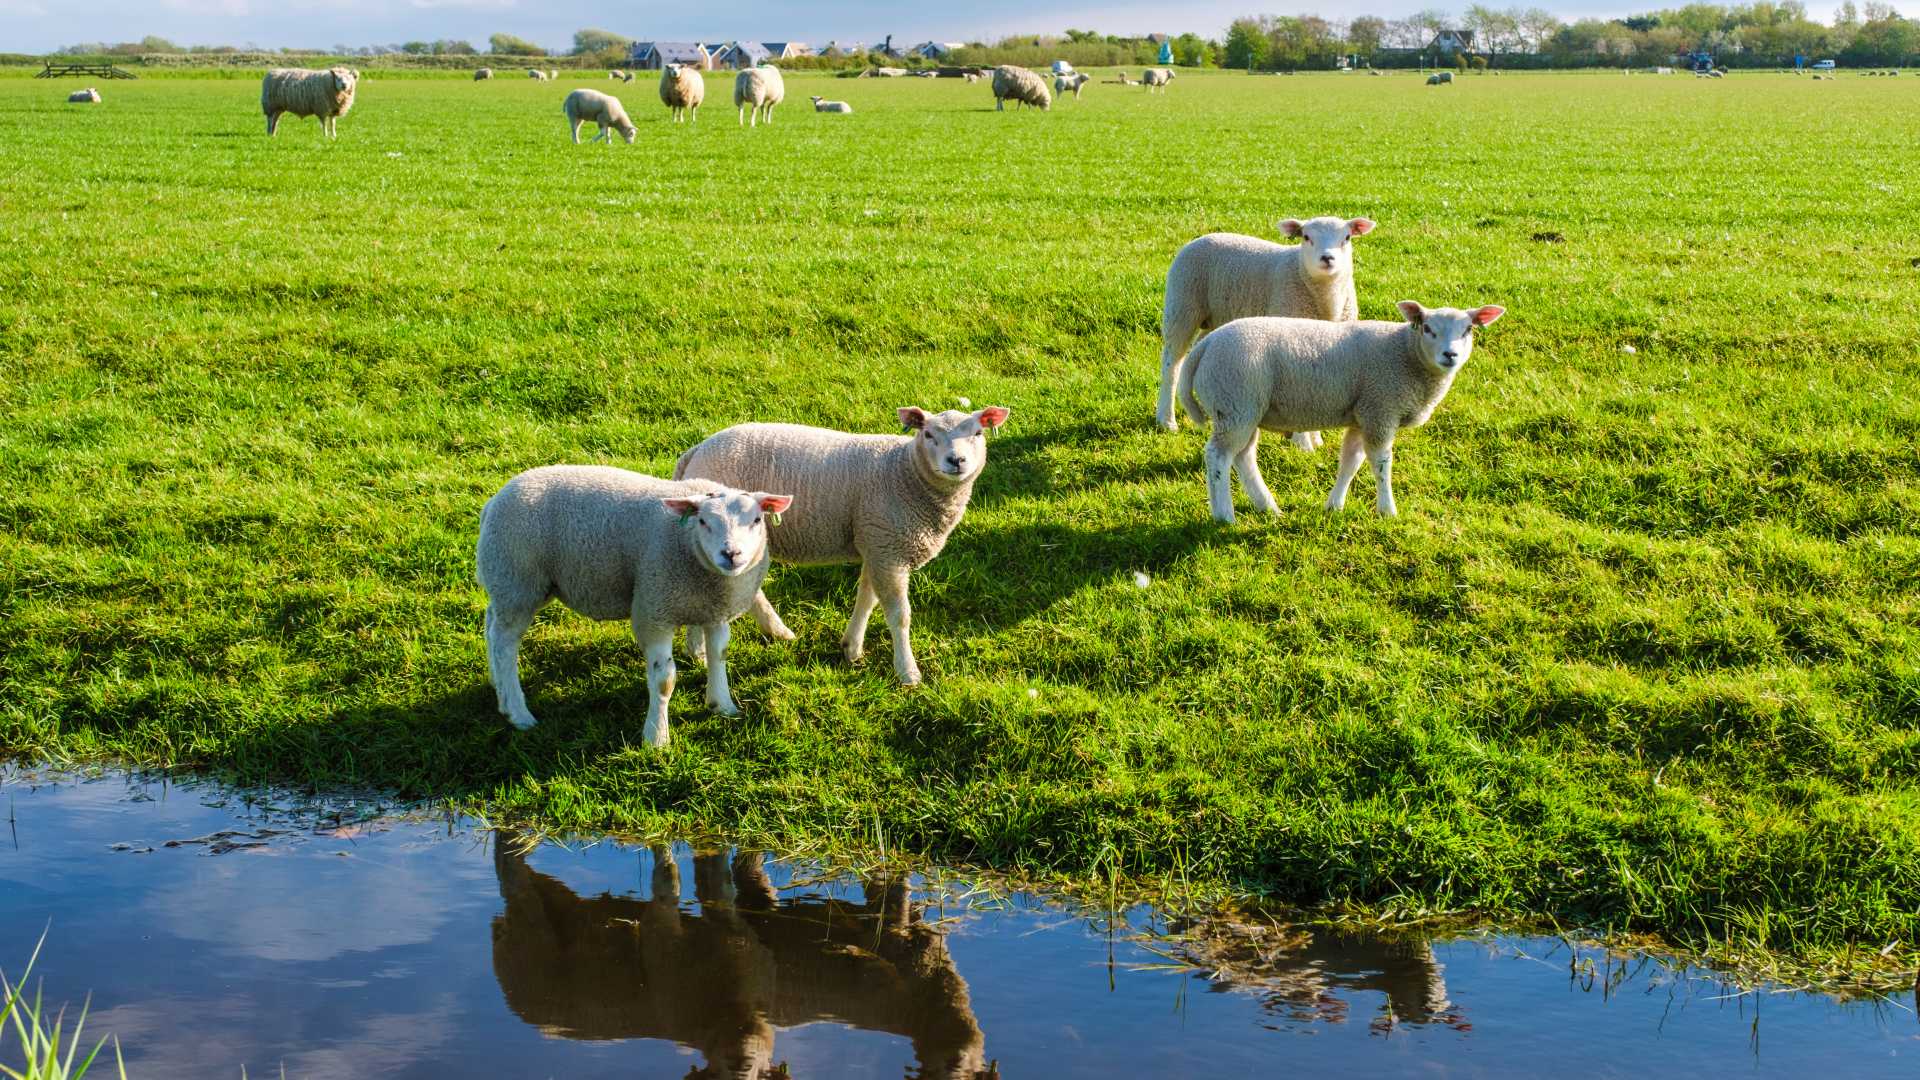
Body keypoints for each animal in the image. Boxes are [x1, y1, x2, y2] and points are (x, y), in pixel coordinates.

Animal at [476, 466, 794, 746]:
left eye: (756, 520)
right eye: (703, 522)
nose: (731, 554)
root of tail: (492, 503)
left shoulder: (714, 611)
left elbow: (719, 657)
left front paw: (722, 705)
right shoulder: (653, 609)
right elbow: (664, 680)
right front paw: (656, 738)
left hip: (516, 584)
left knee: (491, 626)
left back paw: (497, 686)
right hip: (517, 580)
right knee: (504, 644)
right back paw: (517, 712)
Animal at [673, 405, 1011, 686]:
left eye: (978, 433)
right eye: (928, 434)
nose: (957, 461)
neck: (905, 472)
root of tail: (696, 451)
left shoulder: (876, 543)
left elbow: (867, 598)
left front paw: (852, 647)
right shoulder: (887, 546)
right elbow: (899, 615)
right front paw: (908, 672)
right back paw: (713, 647)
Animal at [1157, 215, 1376, 441]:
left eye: (1347, 237)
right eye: (1306, 237)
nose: (1327, 258)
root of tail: (1203, 237)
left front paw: (1315, 439)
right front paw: (1302, 441)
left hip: (1215, 317)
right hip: (1182, 306)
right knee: (1171, 364)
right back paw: (1167, 420)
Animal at [1177, 302, 1504, 522]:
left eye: (1468, 329)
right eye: (1428, 328)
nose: (1450, 355)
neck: (1405, 353)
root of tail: (1205, 345)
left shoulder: (1363, 414)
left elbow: (1351, 461)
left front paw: (1334, 506)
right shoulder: (1380, 410)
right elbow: (1381, 464)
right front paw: (1387, 511)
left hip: (1246, 408)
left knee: (1243, 457)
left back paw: (1268, 506)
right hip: (1234, 402)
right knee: (1218, 457)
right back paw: (1224, 516)